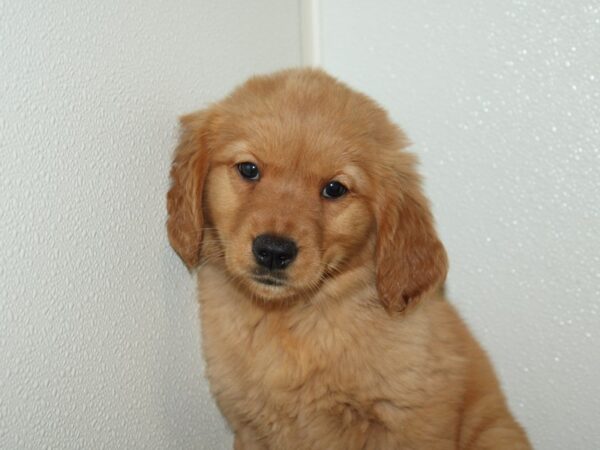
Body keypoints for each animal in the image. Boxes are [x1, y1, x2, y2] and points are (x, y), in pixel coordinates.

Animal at [166, 67, 532, 450]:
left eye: (334, 189)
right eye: (248, 169)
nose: (274, 251)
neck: (294, 320)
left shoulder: (410, 421)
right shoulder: (250, 426)